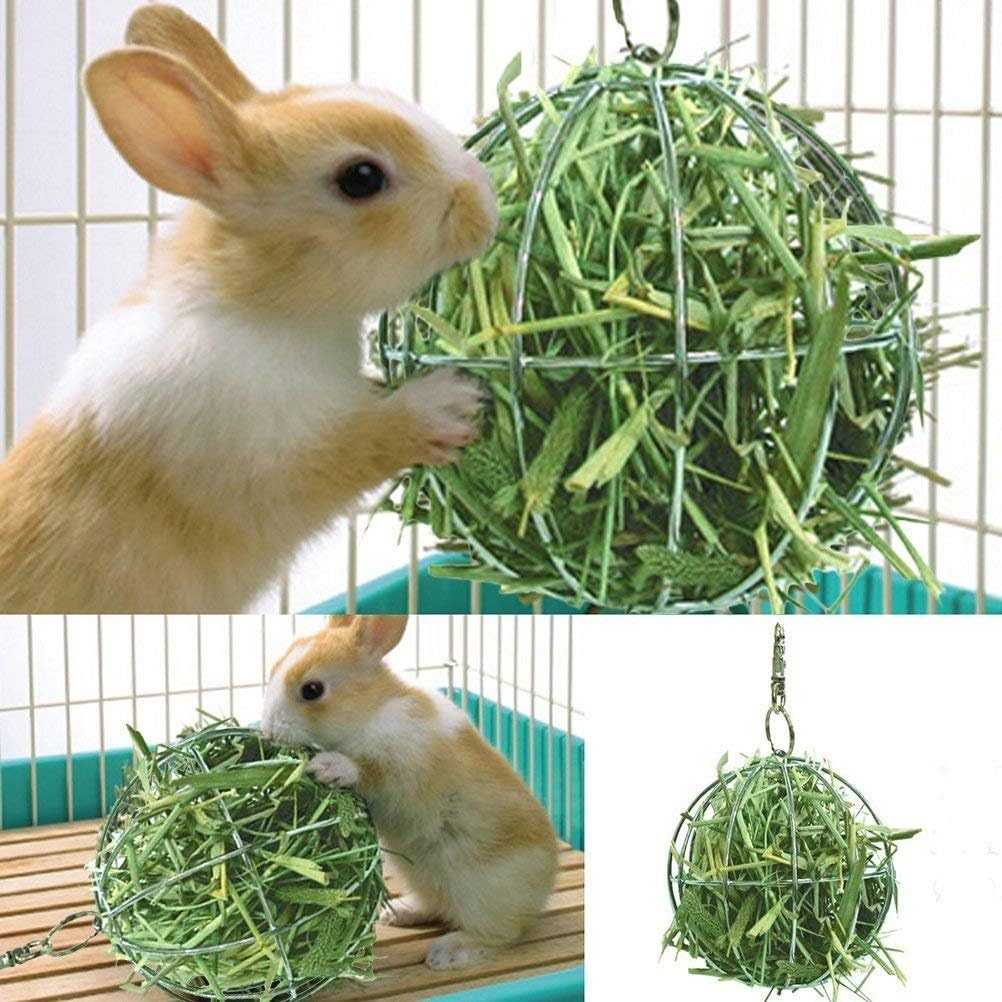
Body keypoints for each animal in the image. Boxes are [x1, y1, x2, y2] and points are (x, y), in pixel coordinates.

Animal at [0, 4, 497, 613]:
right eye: (360, 178)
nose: (486, 200)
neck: (257, 309)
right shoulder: (269, 458)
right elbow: (361, 443)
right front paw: (451, 403)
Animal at [261, 615, 559, 971]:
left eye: (312, 690)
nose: (267, 729)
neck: (371, 711)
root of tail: (545, 887)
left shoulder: (403, 769)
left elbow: (369, 771)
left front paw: (328, 767)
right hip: (420, 877)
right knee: (436, 906)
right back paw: (396, 913)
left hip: (480, 894)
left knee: (501, 934)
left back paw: (446, 953)